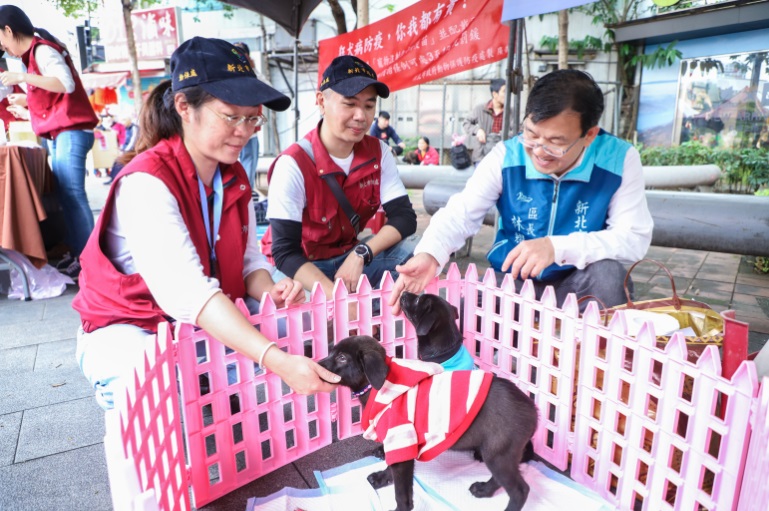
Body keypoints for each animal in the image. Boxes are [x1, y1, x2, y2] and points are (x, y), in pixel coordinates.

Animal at [320, 336, 540, 511]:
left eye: (342, 357)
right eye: (331, 351)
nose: (317, 363)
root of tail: (532, 409)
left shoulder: (402, 441)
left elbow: (402, 493)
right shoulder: (398, 445)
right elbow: (390, 468)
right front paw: (382, 478)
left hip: (498, 453)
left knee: (520, 490)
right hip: (498, 454)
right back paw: (483, 489)